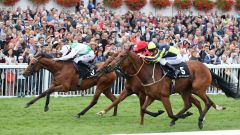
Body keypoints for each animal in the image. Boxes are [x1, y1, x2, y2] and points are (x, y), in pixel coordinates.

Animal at [106, 49, 239, 129]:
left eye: (121, 56)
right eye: (114, 55)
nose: (109, 66)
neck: (148, 74)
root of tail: (206, 67)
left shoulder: (164, 96)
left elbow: (170, 114)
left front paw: (182, 116)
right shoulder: (151, 96)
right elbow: (143, 109)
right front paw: (159, 112)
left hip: (197, 89)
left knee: (207, 102)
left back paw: (200, 119)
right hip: (185, 91)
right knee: (190, 104)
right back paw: (196, 119)